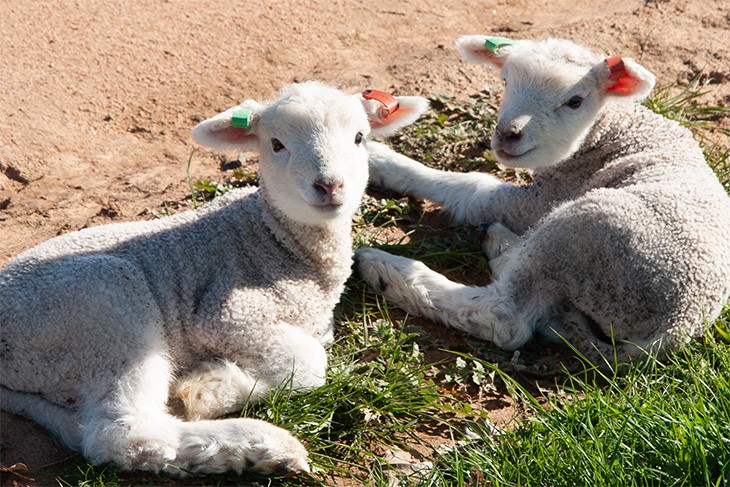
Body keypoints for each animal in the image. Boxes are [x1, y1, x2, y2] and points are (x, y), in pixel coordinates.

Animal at [0, 81, 429, 476]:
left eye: (359, 137)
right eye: (276, 144)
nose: (330, 185)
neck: (274, 238)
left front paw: (214, 386)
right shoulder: (227, 315)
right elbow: (309, 364)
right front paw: (212, 387)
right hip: (104, 309)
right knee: (122, 432)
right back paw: (260, 444)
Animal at [355, 36, 730, 367]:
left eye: (575, 101)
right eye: (505, 81)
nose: (507, 134)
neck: (614, 130)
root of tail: (671, 328)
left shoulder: (547, 197)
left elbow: (471, 189)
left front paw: (380, 159)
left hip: (581, 232)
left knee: (505, 318)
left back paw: (384, 269)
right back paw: (500, 245)